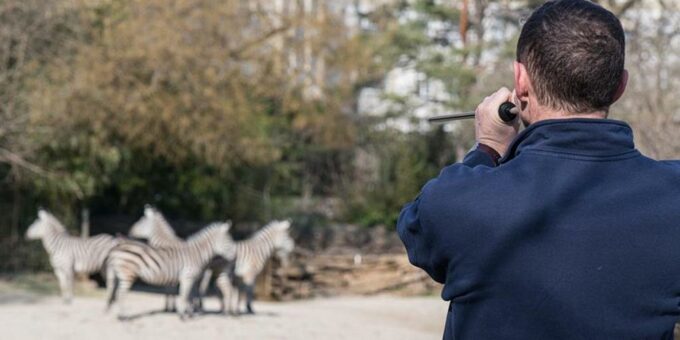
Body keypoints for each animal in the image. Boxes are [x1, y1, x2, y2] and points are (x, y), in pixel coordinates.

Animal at [105, 220, 235, 318]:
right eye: (229, 240)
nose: (234, 257)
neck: (196, 254)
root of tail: (116, 247)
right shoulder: (187, 277)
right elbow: (184, 295)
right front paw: (182, 315)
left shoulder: (190, 278)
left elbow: (187, 295)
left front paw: (187, 313)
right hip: (127, 274)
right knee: (121, 293)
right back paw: (123, 317)